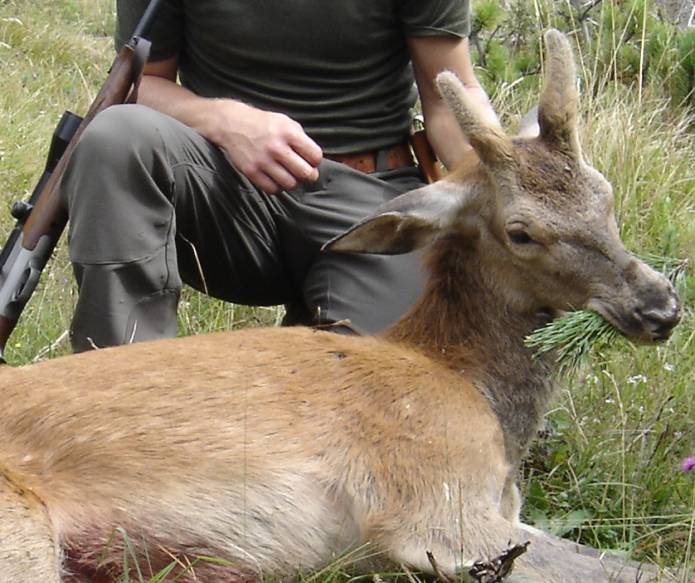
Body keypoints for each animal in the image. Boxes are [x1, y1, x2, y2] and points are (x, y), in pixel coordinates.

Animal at [0, 32, 684, 583]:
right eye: (521, 232)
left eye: (606, 194)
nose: (661, 305)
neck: (468, 384)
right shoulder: (439, 506)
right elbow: (637, 570)